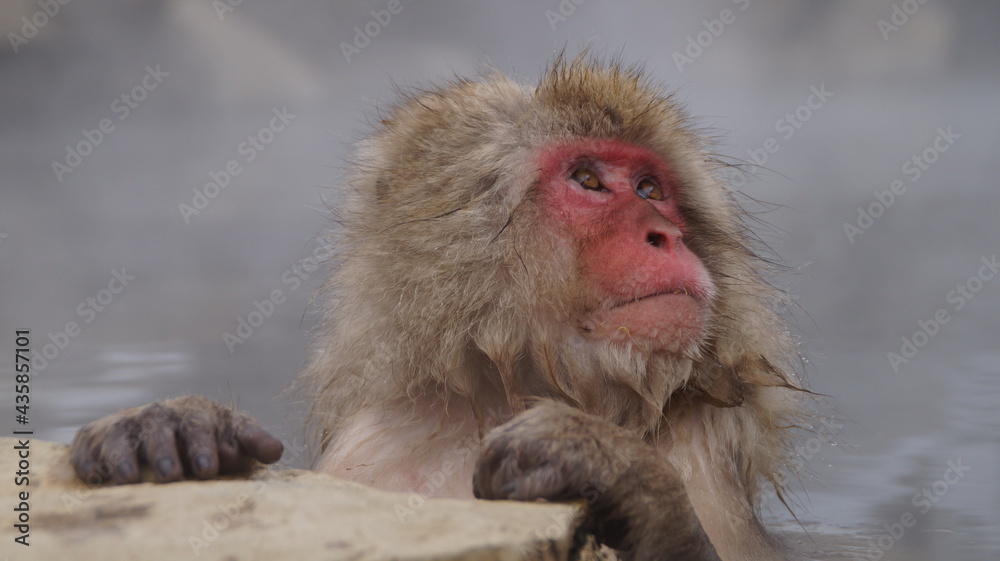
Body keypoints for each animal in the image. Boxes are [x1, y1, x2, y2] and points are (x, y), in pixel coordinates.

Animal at [70, 54, 813, 561]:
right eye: (589, 179)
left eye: (652, 189)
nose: (666, 235)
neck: (508, 393)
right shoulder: (371, 446)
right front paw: (172, 423)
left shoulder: (705, 456)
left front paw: (615, 467)